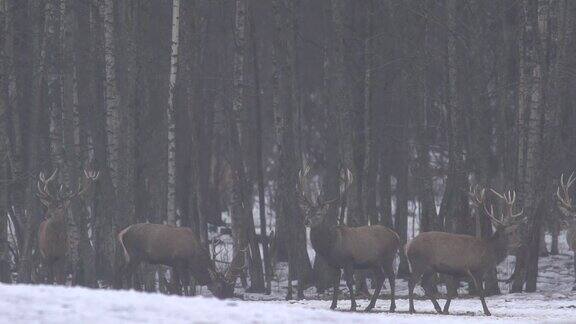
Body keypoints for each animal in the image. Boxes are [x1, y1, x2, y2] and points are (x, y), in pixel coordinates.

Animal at [116, 223, 244, 298]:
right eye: (220, 287)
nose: (225, 298)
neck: (193, 257)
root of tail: (121, 234)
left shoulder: (174, 264)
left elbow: (177, 283)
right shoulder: (179, 261)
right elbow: (184, 282)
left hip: (129, 255)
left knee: (123, 271)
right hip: (134, 254)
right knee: (125, 272)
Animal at [300, 167, 398, 312]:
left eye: (319, 213)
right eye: (307, 212)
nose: (306, 221)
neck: (330, 246)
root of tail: (396, 235)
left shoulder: (349, 260)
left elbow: (349, 282)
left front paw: (353, 306)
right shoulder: (334, 264)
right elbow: (335, 283)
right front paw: (333, 305)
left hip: (388, 257)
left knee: (391, 277)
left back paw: (391, 307)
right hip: (374, 262)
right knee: (380, 278)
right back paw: (369, 306)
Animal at [404, 186, 528, 316]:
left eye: (516, 231)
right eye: (509, 233)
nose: (520, 243)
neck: (488, 252)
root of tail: (408, 246)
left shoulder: (458, 271)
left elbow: (451, 291)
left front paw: (446, 310)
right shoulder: (476, 270)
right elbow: (480, 292)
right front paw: (487, 312)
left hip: (430, 268)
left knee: (423, 284)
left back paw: (437, 308)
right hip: (418, 263)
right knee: (411, 283)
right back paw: (412, 309)